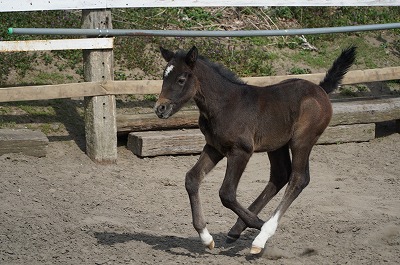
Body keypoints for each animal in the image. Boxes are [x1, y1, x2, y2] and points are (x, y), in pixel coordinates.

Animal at [154, 46, 356, 254]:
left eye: (181, 79)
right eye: (164, 77)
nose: (160, 108)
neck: (224, 104)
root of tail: (320, 89)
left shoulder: (241, 151)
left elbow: (226, 193)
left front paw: (261, 226)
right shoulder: (214, 147)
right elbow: (192, 179)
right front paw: (206, 237)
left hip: (302, 141)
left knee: (299, 179)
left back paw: (262, 235)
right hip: (277, 145)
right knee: (280, 175)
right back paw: (236, 230)